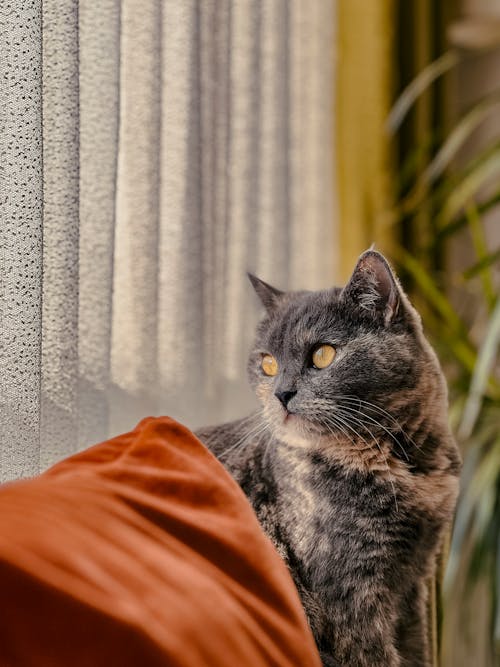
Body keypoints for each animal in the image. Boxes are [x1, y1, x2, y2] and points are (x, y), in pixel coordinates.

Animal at [195, 250, 460, 667]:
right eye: (268, 363)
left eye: (323, 355)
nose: (281, 393)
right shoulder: (350, 598)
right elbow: (375, 656)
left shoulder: (414, 582)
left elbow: (418, 649)